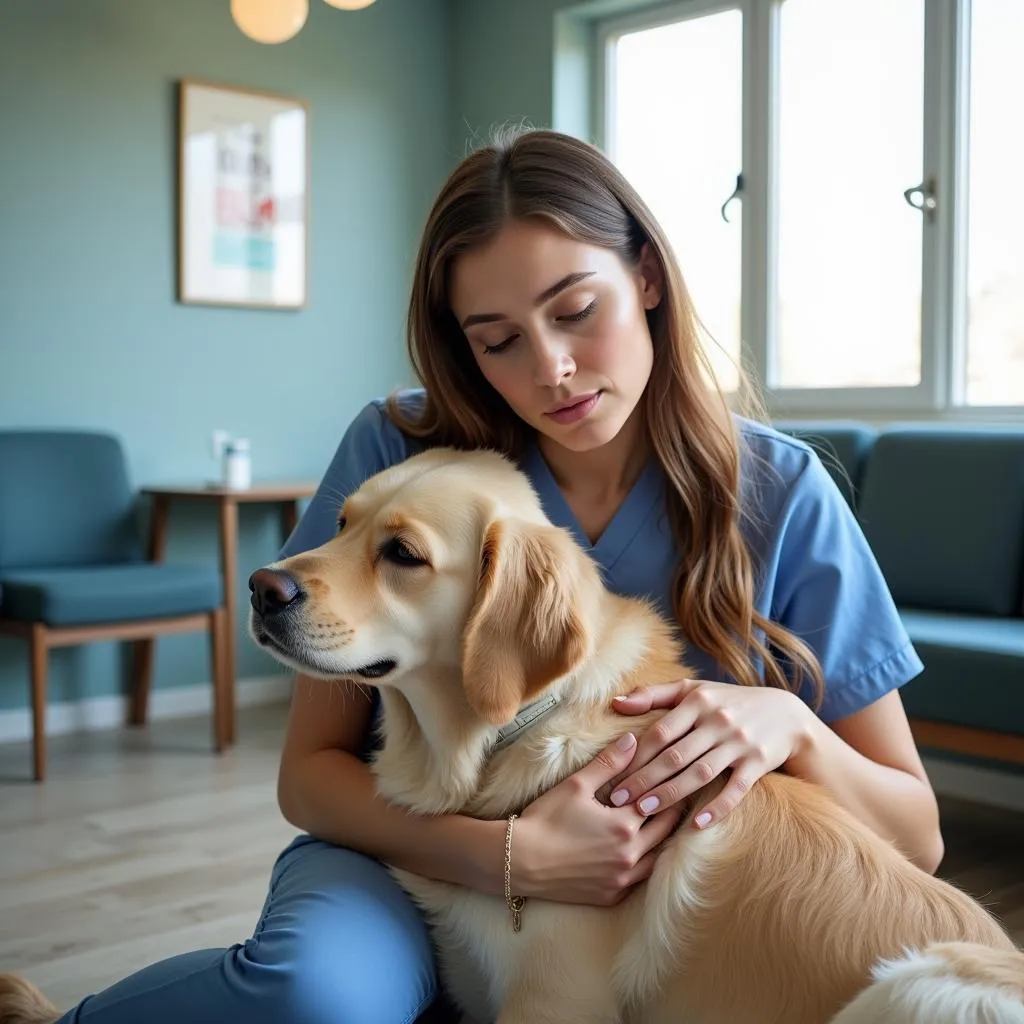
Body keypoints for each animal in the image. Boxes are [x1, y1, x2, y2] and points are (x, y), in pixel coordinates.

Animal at [247, 448, 1024, 1024]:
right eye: (340, 522)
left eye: (403, 553)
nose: (261, 587)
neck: (509, 731)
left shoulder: (554, 1002)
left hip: (918, 987)